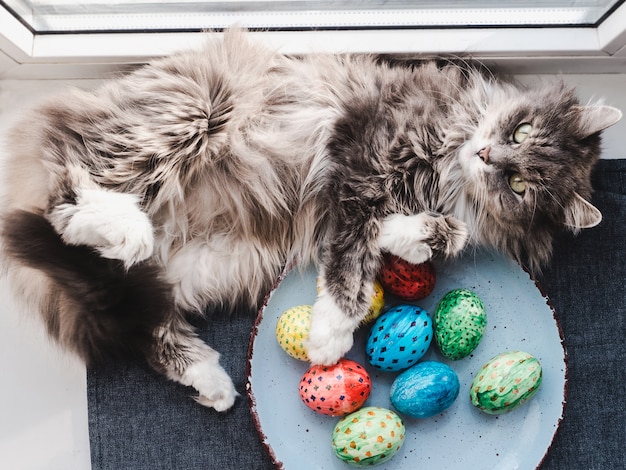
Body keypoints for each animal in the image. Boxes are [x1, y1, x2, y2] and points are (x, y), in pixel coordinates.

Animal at [0, 30, 616, 412]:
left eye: (520, 184)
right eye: (519, 131)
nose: (488, 156)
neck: (450, 169)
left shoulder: (378, 190)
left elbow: (419, 234)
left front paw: (415, 238)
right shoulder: (361, 153)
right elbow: (352, 249)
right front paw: (330, 335)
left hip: (217, 264)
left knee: (145, 322)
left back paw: (213, 381)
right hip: (185, 115)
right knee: (60, 201)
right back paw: (121, 226)